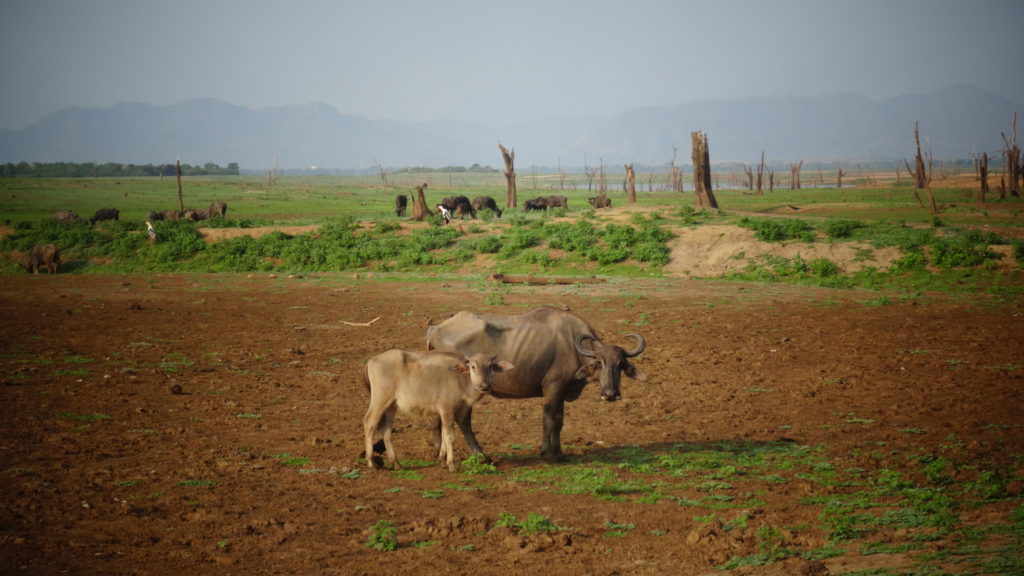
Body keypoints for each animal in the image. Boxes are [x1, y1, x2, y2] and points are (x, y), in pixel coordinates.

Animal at [366, 348, 516, 469]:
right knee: (369, 423)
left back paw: (397, 464)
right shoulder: (446, 409)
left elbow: (444, 434)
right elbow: (449, 436)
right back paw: (371, 462)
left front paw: (442, 461)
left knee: (386, 430)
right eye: (473, 366)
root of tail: (372, 361)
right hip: (380, 400)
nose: (484, 385)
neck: (461, 380)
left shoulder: (456, 411)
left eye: (490, 366)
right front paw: (451, 464)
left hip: (391, 405)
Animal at [428, 307, 643, 459]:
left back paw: (440, 450)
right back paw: (481, 455)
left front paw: (559, 452)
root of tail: (436, 329)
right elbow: (548, 420)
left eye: (620, 364)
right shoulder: (552, 389)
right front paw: (546, 451)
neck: (572, 344)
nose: (610, 394)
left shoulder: (561, 392)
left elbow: (559, 422)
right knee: (462, 419)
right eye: (599, 363)